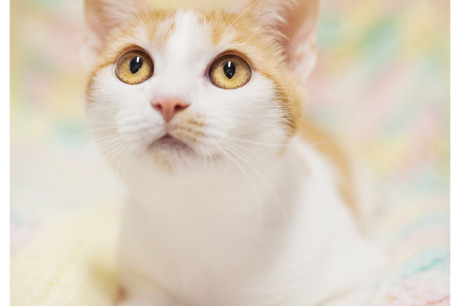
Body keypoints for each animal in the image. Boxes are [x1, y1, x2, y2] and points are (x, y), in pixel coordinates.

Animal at [83, 0, 384, 304]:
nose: (168, 101)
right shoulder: (140, 280)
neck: (201, 213)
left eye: (230, 70)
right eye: (134, 66)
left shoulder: (352, 280)